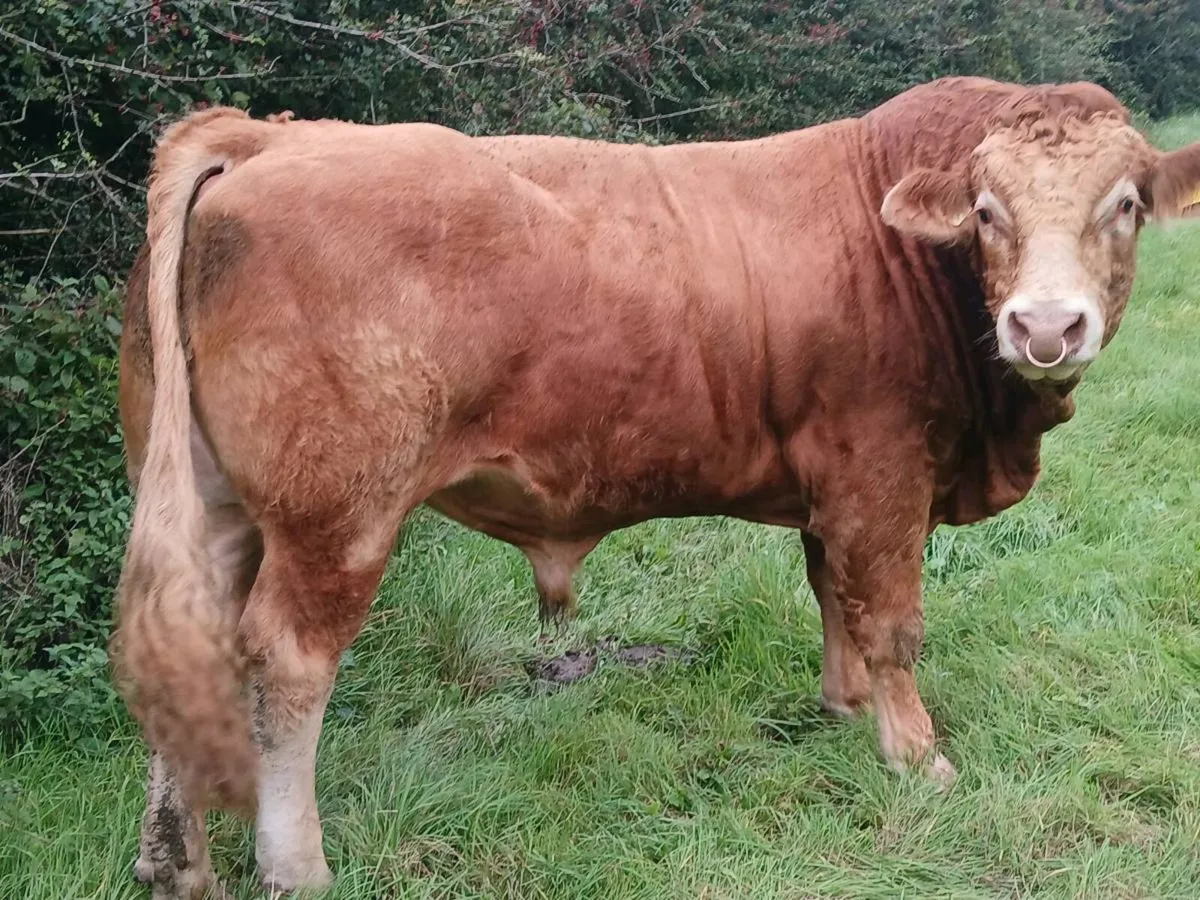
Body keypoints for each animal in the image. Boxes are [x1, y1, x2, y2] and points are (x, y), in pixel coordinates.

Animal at [112, 75, 1200, 897]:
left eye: (1124, 205)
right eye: (986, 211)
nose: (1046, 326)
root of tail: (265, 135)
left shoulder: (835, 484)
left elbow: (833, 595)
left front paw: (845, 710)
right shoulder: (882, 473)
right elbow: (891, 620)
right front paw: (917, 758)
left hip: (220, 507)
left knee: (190, 640)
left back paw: (177, 861)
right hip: (336, 517)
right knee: (288, 664)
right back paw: (295, 864)